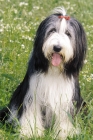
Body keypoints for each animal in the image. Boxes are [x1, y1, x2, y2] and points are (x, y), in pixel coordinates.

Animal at [0, 7, 87, 139]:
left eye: (68, 33)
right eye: (52, 31)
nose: (57, 47)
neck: (54, 70)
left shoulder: (66, 97)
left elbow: (65, 117)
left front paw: (64, 133)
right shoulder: (33, 93)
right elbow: (32, 112)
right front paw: (31, 132)